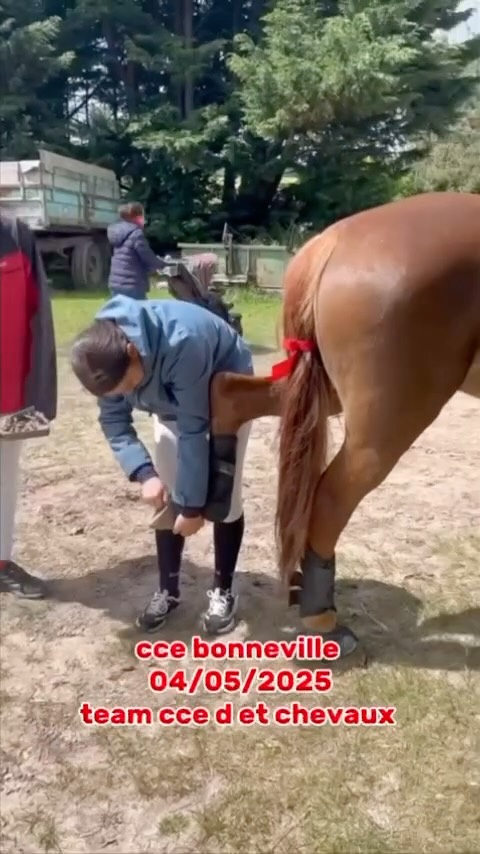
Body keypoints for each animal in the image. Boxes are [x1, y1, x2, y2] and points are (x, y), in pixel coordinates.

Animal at [209, 191, 480, 657]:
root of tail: (332, 240)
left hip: (321, 386)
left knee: (229, 394)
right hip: (389, 418)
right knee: (329, 497)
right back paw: (320, 616)